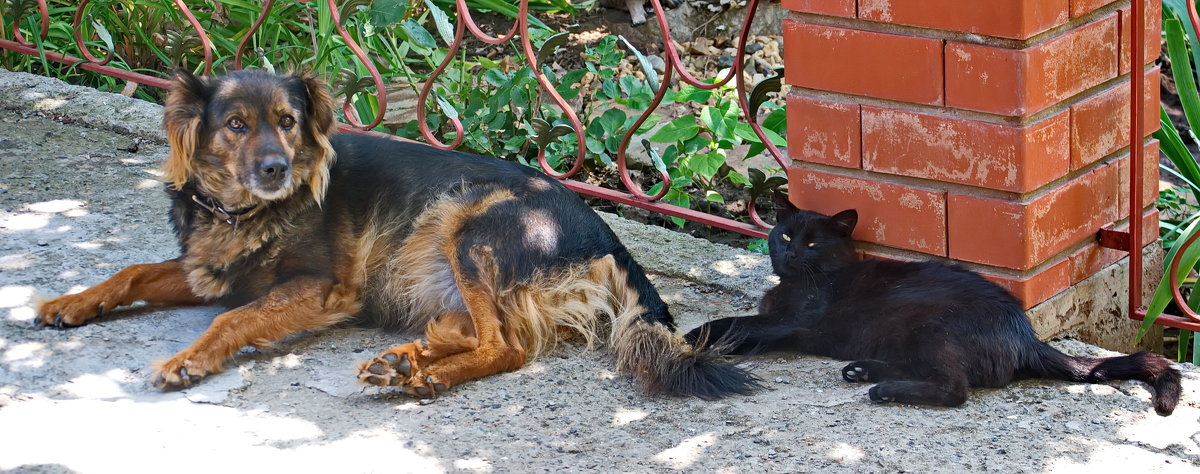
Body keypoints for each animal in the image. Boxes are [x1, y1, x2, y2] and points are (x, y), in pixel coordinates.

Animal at [32, 68, 753, 398]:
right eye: (235, 125)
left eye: (288, 122)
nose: (276, 168)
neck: (242, 211)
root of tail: (608, 237)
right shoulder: (210, 270)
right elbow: (129, 271)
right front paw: (69, 304)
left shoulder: (324, 287)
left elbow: (235, 319)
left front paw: (188, 360)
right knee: (477, 331)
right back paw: (408, 357)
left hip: (467, 222)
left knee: (508, 346)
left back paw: (420, 376)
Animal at [686, 193, 1180, 415]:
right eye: (786, 235)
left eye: (812, 243)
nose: (789, 253)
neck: (803, 280)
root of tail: (1027, 335)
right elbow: (745, 321)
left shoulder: (795, 323)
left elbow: (739, 323)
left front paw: (694, 336)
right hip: (909, 336)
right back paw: (865, 371)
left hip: (932, 327)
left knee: (955, 389)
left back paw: (881, 389)